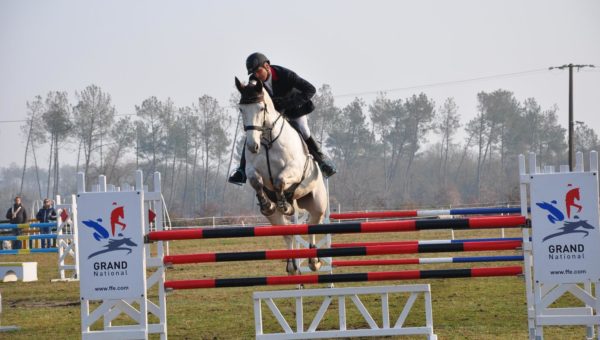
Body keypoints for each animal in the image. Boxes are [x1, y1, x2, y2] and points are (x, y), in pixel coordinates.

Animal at [234, 77, 328, 274]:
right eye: (241, 109)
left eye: (261, 108)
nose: (252, 146)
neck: (267, 140)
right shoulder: (252, 170)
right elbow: (256, 181)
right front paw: (267, 204)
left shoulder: (294, 170)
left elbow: (279, 180)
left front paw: (283, 204)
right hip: (275, 219)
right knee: (287, 232)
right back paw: (291, 264)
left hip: (317, 203)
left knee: (312, 225)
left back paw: (313, 261)